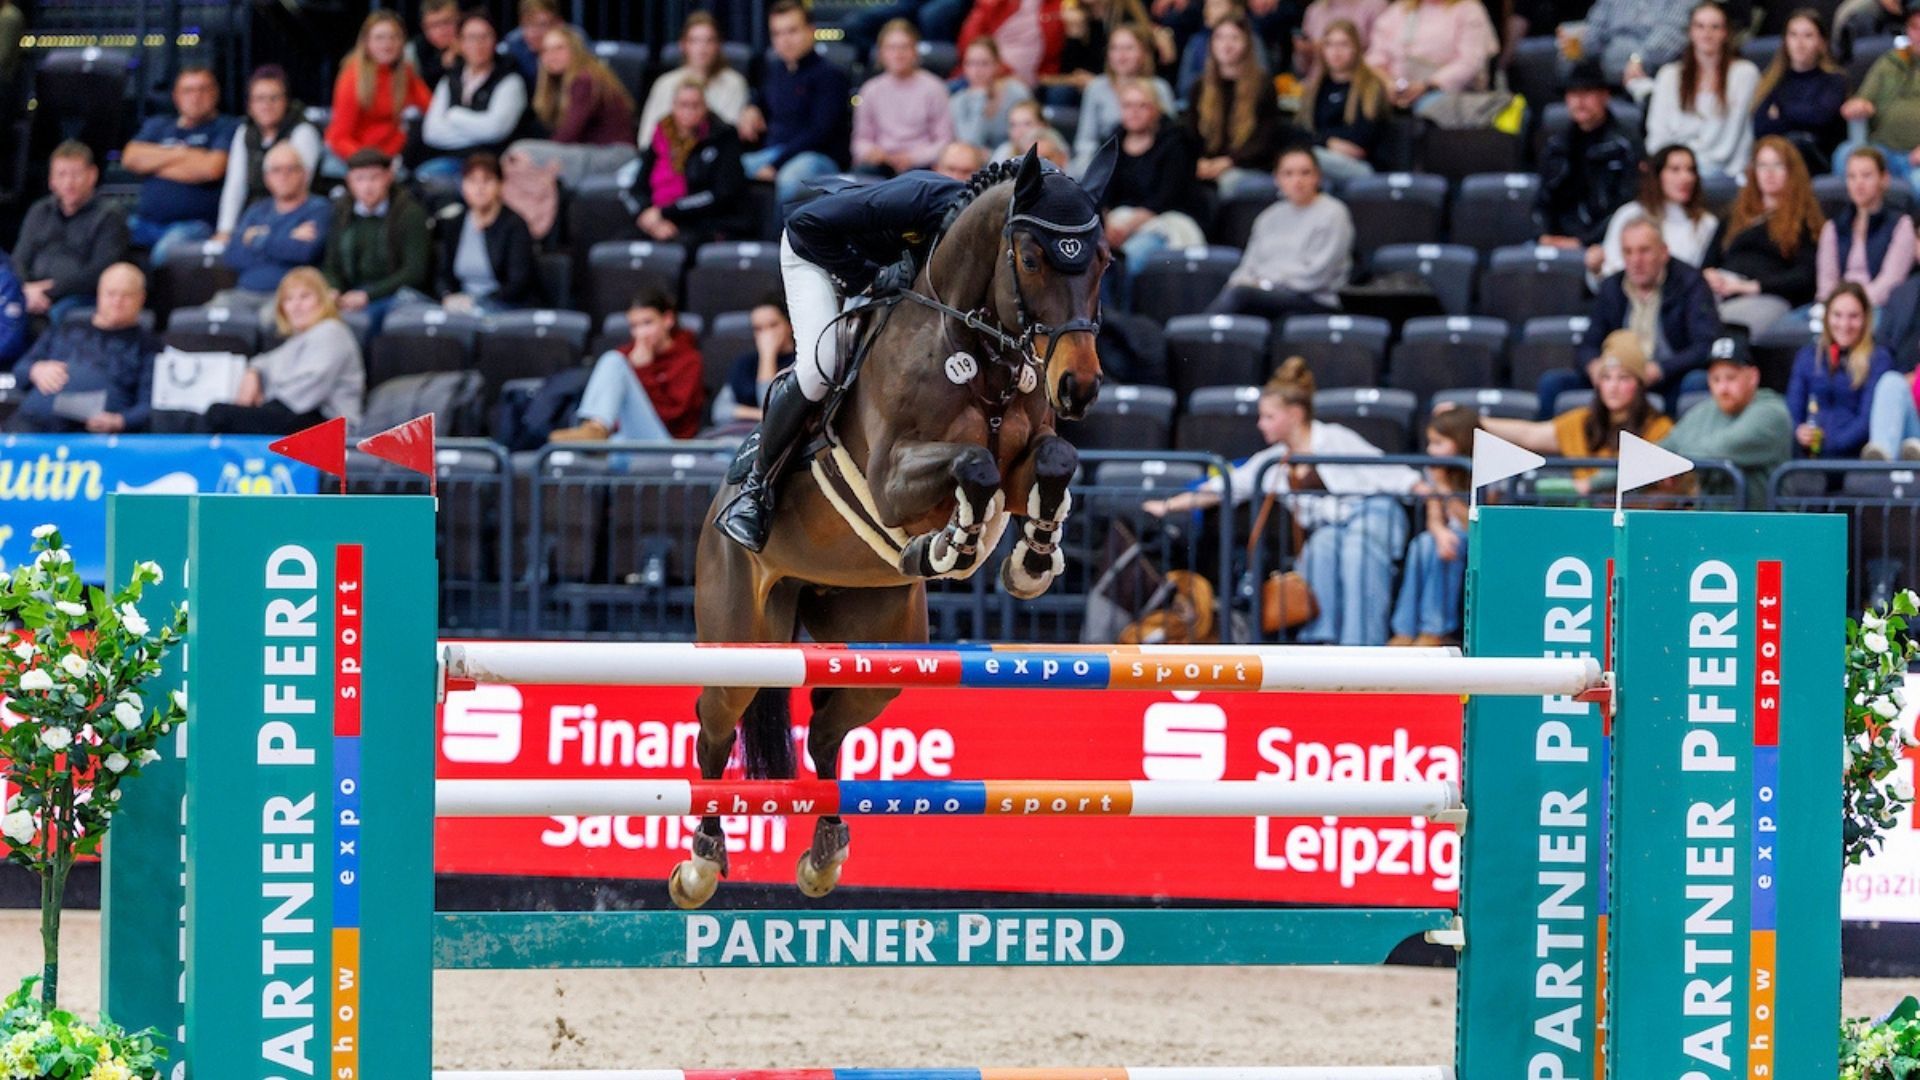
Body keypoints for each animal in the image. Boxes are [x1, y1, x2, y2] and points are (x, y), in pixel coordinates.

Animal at [672, 147, 1115, 909]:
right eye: (1031, 257)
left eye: (1105, 261)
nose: (1078, 388)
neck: (979, 351)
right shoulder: (890, 477)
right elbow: (972, 466)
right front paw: (953, 543)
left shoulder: (1029, 457)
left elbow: (1053, 461)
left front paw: (1028, 561)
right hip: (738, 632)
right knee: (713, 728)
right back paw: (701, 862)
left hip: (882, 648)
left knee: (825, 731)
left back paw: (824, 855)